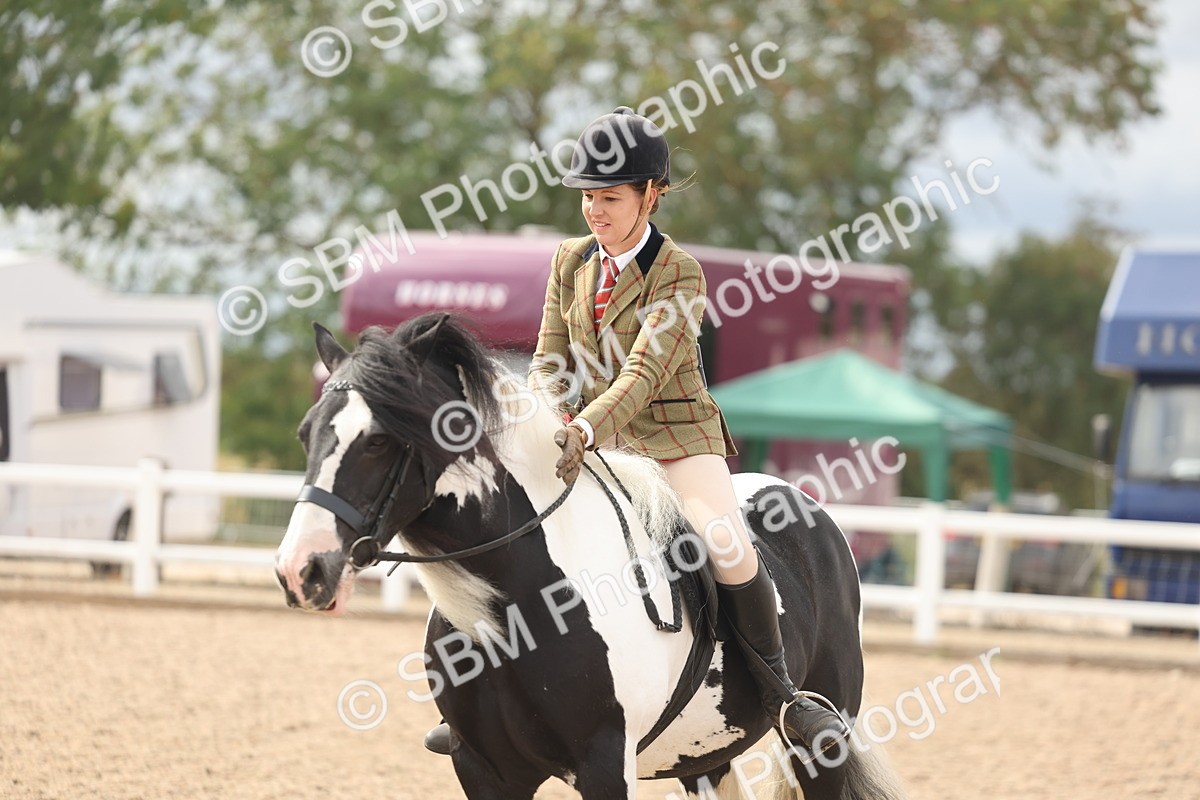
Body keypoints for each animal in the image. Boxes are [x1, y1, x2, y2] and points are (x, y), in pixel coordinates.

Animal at [274, 312, 906, 800]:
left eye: (379, 441)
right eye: (306, 434)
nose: (301, 570)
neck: (516, 605)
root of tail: (806, 504)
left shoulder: (603, 764)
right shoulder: (485, 770)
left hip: (822, 743)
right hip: (703, 753)